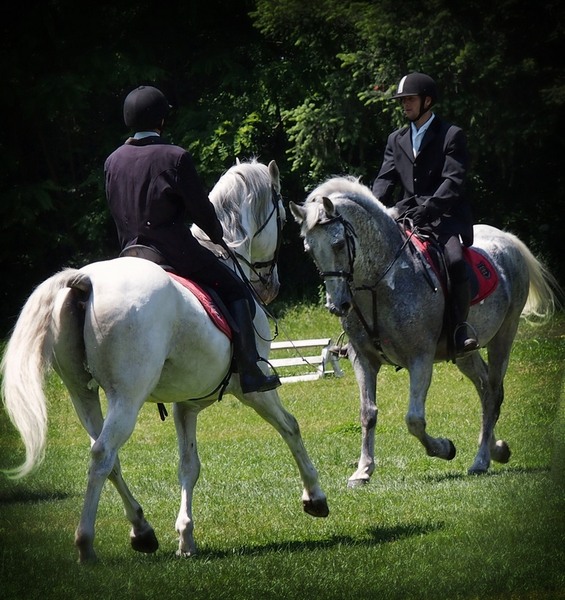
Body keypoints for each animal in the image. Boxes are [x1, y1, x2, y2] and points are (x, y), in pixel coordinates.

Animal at [1, 159, 329, 564]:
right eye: (283, 218)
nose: (271, 287)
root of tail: (83, 280)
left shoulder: (186, 404)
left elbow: (189, 466)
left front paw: (185, 537)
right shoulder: (252, 390)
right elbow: (291, 426)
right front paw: (315, 497)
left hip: (82, 395)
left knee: (107, 457)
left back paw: (142, 531)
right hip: (127, 396)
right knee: (103, 453)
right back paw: (86, 544)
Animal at [290, 176, 559, 487]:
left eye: (337, 244)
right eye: (309, 250)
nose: (338, 305)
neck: (381, 282)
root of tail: (506, 238)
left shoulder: (420, 358)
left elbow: (414, 419)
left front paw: (444, 448)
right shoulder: (363, 359)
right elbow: (368, 413)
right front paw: (363, 470)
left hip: (505, 335)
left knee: (492, 391)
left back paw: (481, 459)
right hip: (465, 352)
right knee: (484, 389)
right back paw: (496, 449)